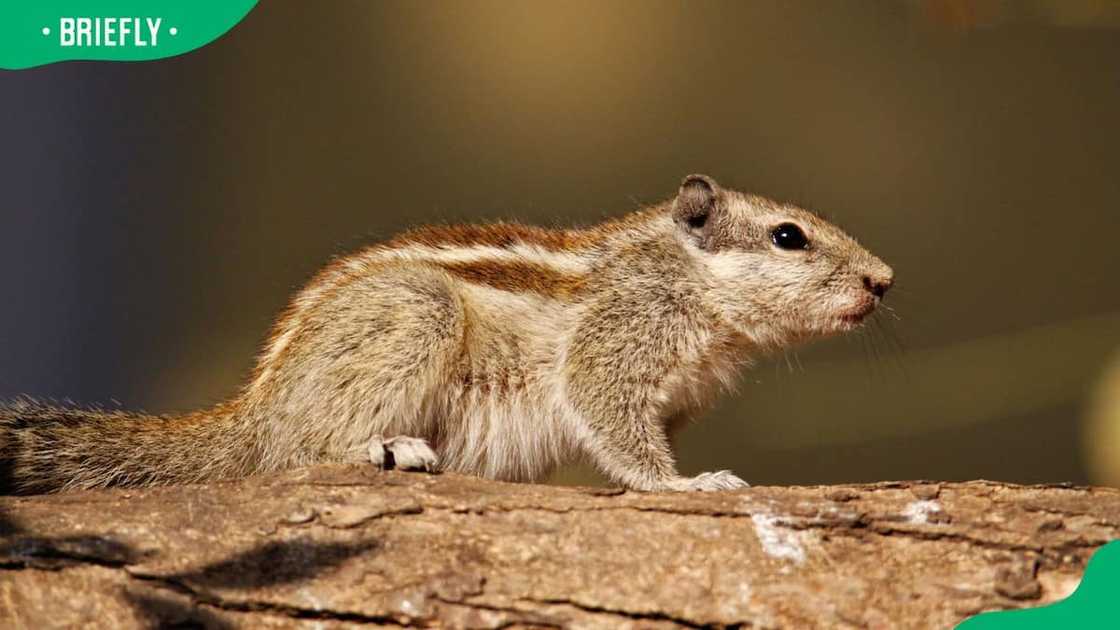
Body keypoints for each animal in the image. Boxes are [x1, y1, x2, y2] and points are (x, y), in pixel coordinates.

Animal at [0, 173, 891, 493]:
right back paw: (387, 448)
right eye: (788, 237)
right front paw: (688, 486)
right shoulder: (615, 344)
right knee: (296, 452)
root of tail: (253, 411)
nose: (884, 281)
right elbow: (617, 429)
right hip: (415, 315)